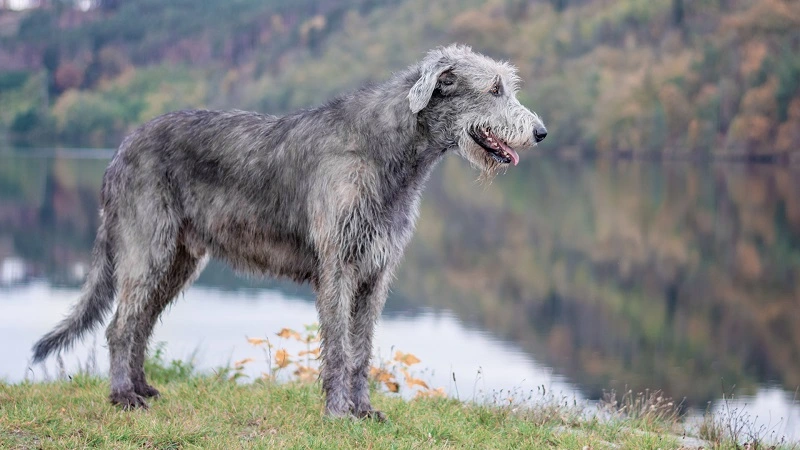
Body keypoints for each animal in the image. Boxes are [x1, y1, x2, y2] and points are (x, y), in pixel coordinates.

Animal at [31, 44, 544, 420]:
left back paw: (141, 386)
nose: (540, 132)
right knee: (120, 326)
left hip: (178, 261)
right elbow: (338, 348)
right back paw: (123, 397)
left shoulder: (375, 273)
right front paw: (337, 413)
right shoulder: (338, 268)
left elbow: (362, 349)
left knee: (140, 324)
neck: (386, 150)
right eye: (495, 88)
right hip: (148, 247)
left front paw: (364, 410)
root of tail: (120, 148)